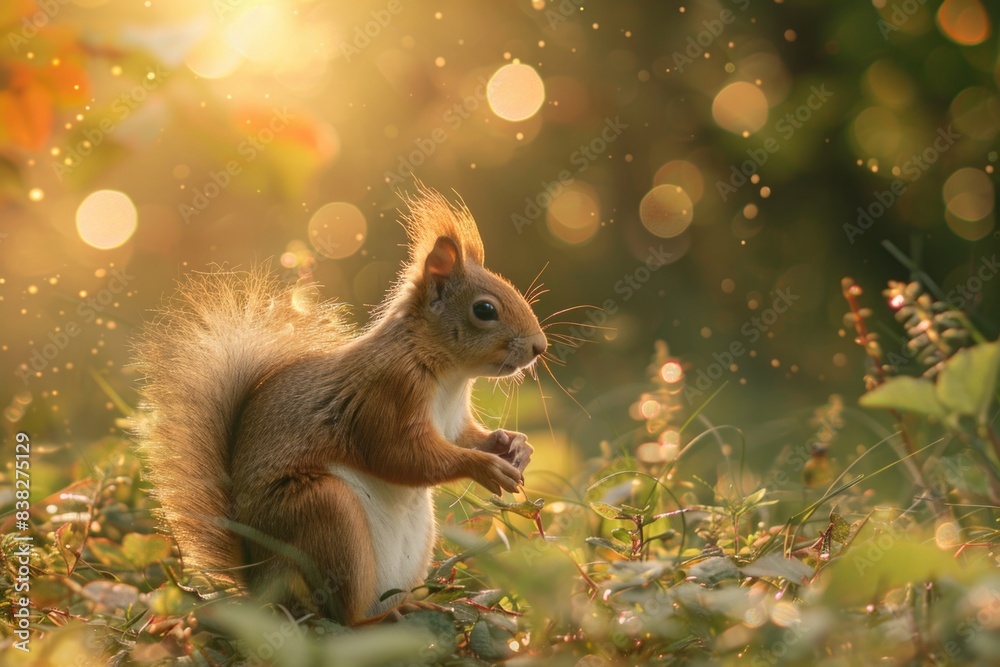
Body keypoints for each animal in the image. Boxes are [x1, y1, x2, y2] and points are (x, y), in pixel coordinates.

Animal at [132, 188, 547, 626]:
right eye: (485, 310)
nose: (540, 346)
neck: (448, 375)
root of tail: (261, 584)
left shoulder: (452, 421)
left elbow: (464, 437)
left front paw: (514, 445)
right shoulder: (386, 392)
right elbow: (399, 455)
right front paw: (485, 467)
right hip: (325, 512)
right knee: (343, 618)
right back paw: (386, 616)